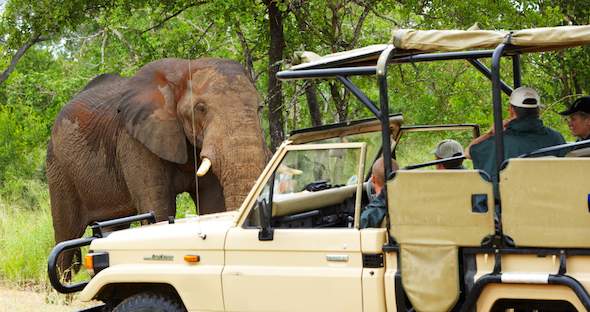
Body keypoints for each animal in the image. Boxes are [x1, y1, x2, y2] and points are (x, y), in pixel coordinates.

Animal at [48, 58, 270, 276]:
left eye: (260, 107)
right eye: (200, 108)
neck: (182, 73)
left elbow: (212, 204)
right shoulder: (135, 140)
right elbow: (158, 207)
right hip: (58, 168)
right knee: (66, 235)